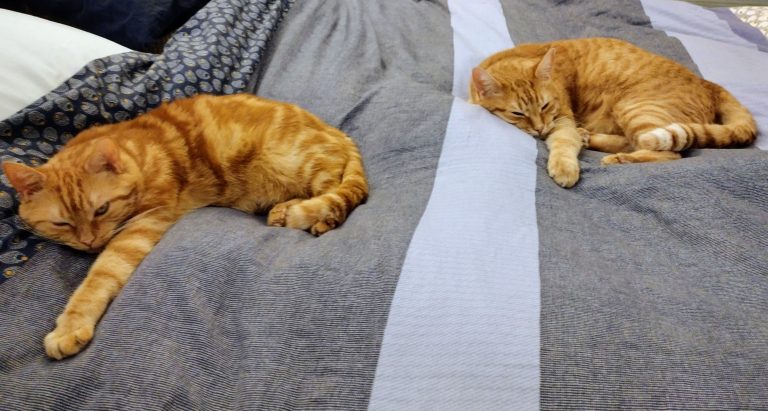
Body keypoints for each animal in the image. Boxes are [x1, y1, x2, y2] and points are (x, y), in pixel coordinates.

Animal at [3, 92, 368, 358]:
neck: (135, 155)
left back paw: (312, 218)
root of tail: (338, 133)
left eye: (101, 209)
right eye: (62, 223)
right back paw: (283, 210)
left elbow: (100, 275)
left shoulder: (145, 222)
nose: (89, 242)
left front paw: (69, 327)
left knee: (338, 195)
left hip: (298, 162)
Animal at [468, 37, 756, 188]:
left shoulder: (562, 119)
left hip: (634, 108)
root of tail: (708, 83)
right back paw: (591, 138)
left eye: (545, 106)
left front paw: (564, 166)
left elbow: (564, 142)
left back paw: (618, 158)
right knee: (636, 142)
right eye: (518, 114)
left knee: (668, 152)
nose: (539, 129)